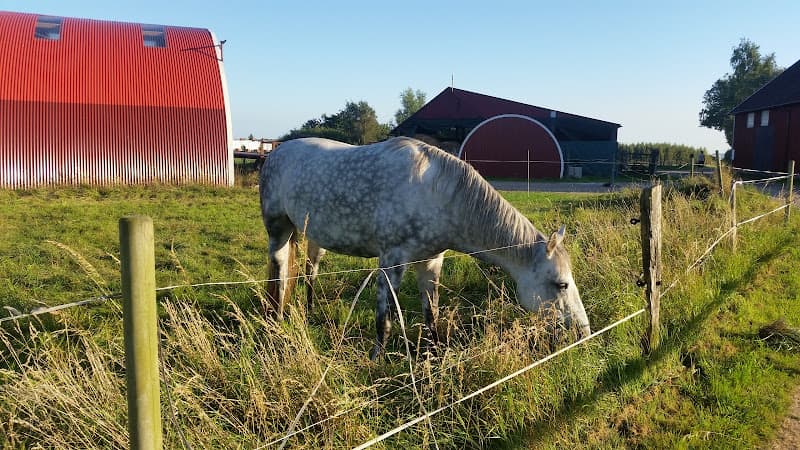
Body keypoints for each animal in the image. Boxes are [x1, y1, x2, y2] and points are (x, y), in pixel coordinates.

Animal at [260, 136, 592, 358]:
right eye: (561, 284)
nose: (584, 332)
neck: (440, 195)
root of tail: (276, 151)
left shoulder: (431, 262)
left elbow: (431, 315)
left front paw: (435, 356)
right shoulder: (391, 261)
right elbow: (384, 320)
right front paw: (376, 360)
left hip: (313, 236)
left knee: (309, 272)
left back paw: (310, 312)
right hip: (279, 231)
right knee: (280, 275)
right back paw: (276, 323)